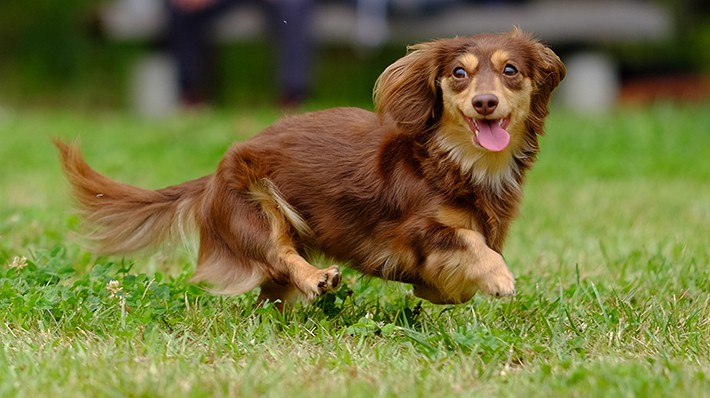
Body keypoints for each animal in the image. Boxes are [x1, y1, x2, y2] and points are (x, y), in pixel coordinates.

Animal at [55, 29, 568, 306]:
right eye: (459, 73)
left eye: (510, 71)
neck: (459, 164)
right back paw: (317, 278)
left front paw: (442, 287)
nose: (485, 103)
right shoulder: (417, 228)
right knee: (280, 255)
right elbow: (469, 243)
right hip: (254, 205)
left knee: (273, 286)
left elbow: (449, 286)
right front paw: (498, 277)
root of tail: (215, 173)